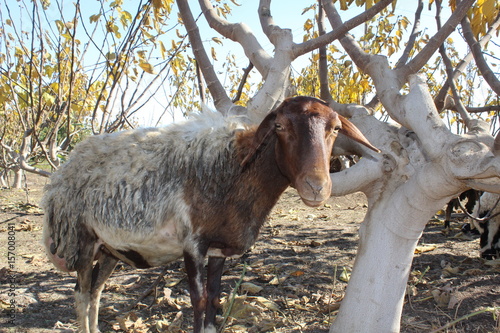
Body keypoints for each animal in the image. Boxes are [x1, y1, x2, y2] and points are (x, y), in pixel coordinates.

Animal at [42, 94, 378, 330]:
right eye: (280, 126)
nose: (316, 187)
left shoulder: (220, 248)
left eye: (335, 129)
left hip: (110, 249)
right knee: (81, 294)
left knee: (95, 293)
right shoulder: (193, 245)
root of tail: (63, 169)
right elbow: (200, 302)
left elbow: (215, 303)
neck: (238, 168)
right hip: (81, 238)